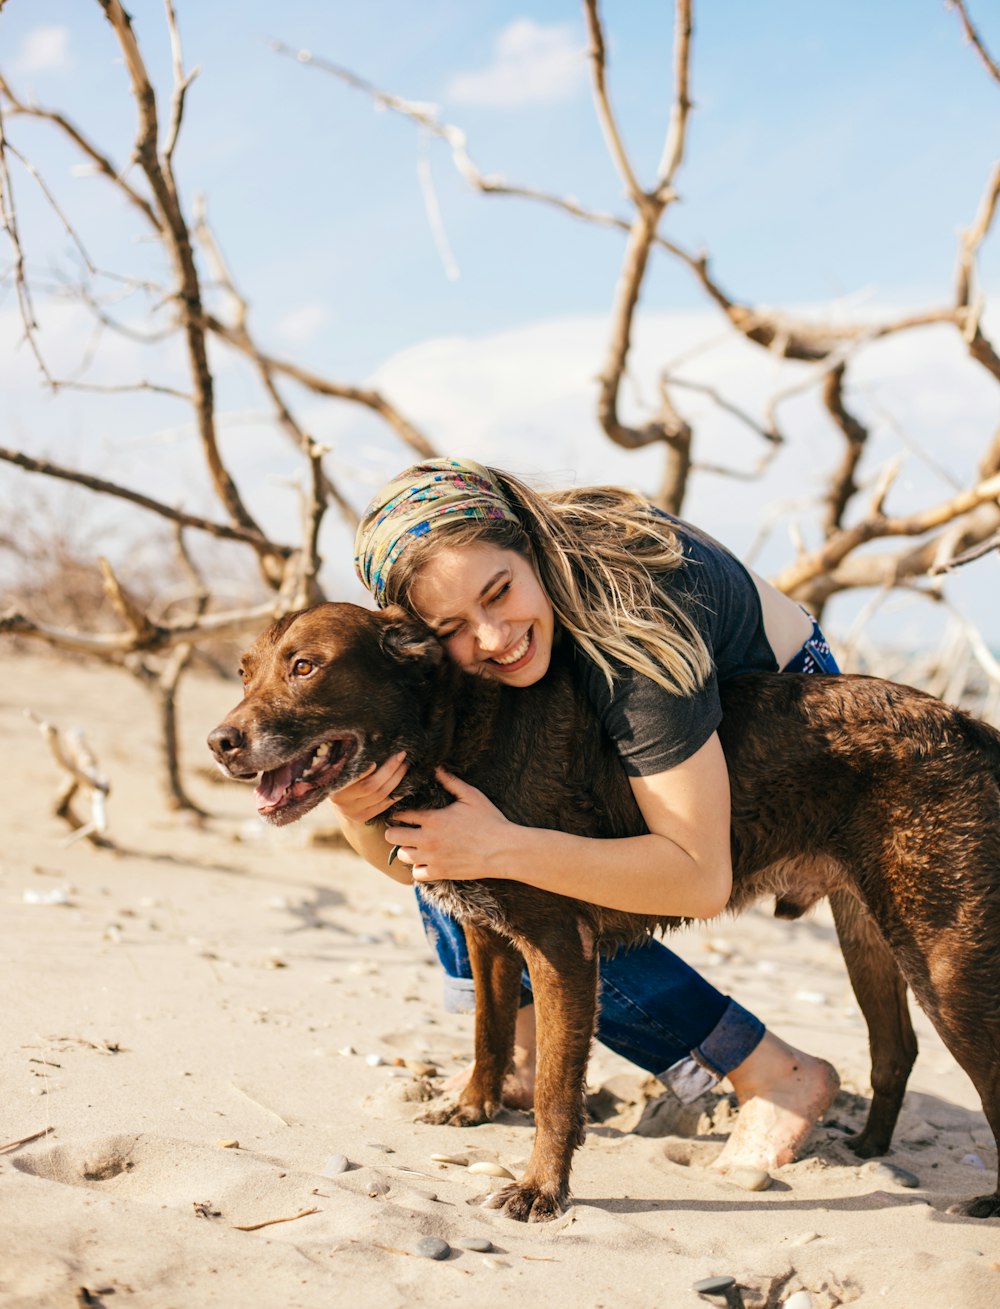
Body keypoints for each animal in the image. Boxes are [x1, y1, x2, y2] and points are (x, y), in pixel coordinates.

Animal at [209, 599, 999, 1214]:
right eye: (245, 671)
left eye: (306, 666)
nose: (219, 742)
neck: (459, 731)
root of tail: (971, 727)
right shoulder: (487, 936)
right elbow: (489, 1034)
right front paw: (473, 1108)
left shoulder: (562, 949)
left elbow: (558, 1093)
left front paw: (542, 1191)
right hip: (869, 936)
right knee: (895, 1050)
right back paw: (866, 1146)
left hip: (945, 962)